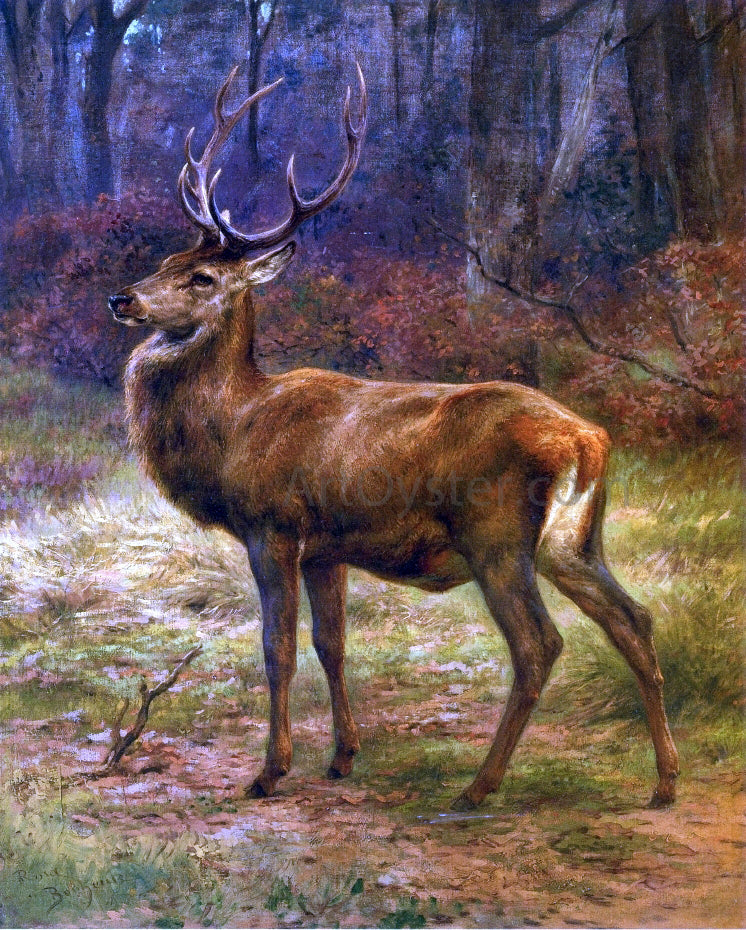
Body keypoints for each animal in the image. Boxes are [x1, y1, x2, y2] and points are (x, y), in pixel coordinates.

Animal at [110, 63, 679, 811]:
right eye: (166, 258)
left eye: (201, 276)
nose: (122, 298)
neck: (236, 429)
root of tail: (588, 442)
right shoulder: (326, 548)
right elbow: (332, 644)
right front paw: (343, 756)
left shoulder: (273, 525)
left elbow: (278, 648)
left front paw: (269, 771)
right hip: (576, 540)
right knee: (634, 621)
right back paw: (665, 782)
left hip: (497, 535)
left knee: (538, 645)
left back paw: (478, 787)